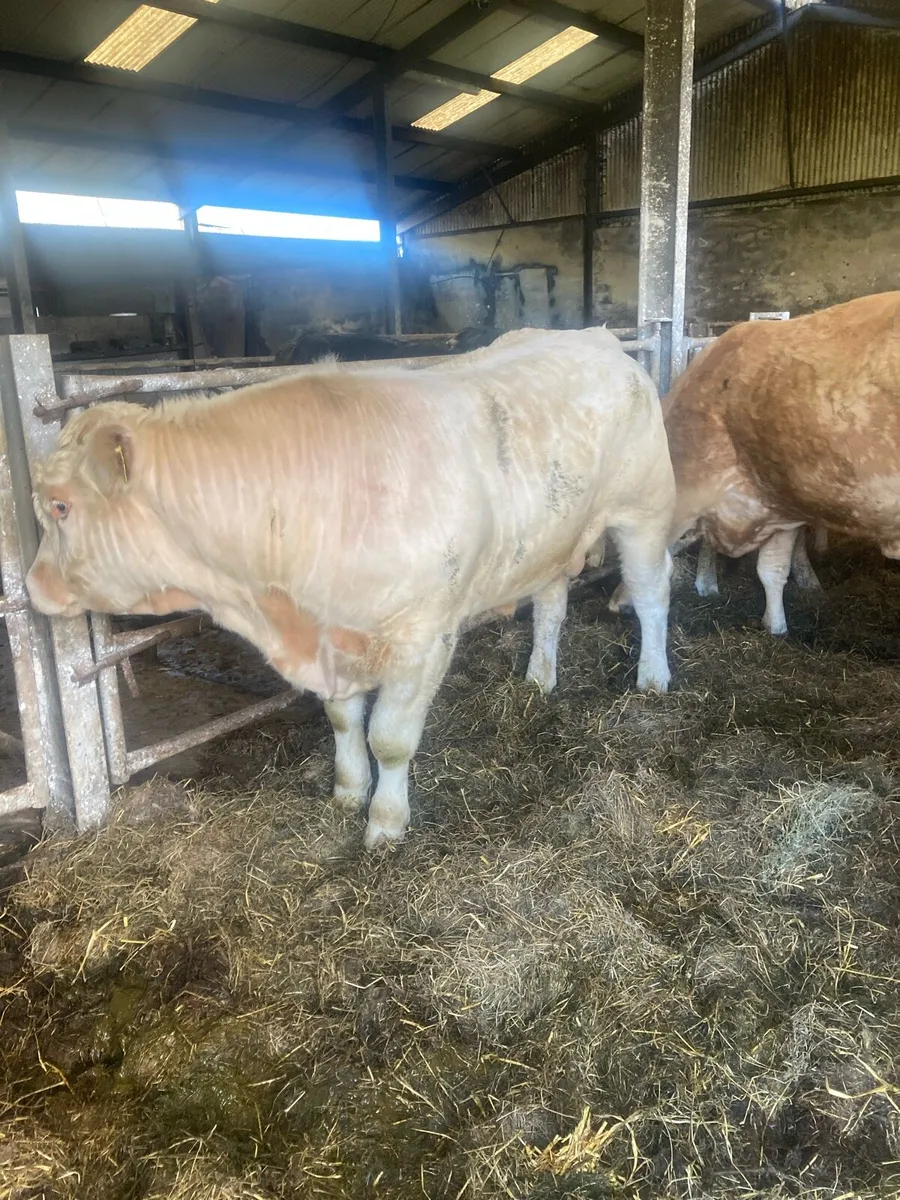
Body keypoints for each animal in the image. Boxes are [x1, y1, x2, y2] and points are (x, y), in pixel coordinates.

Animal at [26, 327, 675, 848]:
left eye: (60, 506)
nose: (32, 588)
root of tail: (597, 337)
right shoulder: (332, 638)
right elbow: (343, 721)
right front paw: (346, 791)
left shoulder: (422, 637)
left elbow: (389, 739)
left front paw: (385, 823)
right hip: (546, 540)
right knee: (550, 605)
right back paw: (539, 678)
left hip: (644, 510)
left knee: (651, 592)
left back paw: (652, 677)